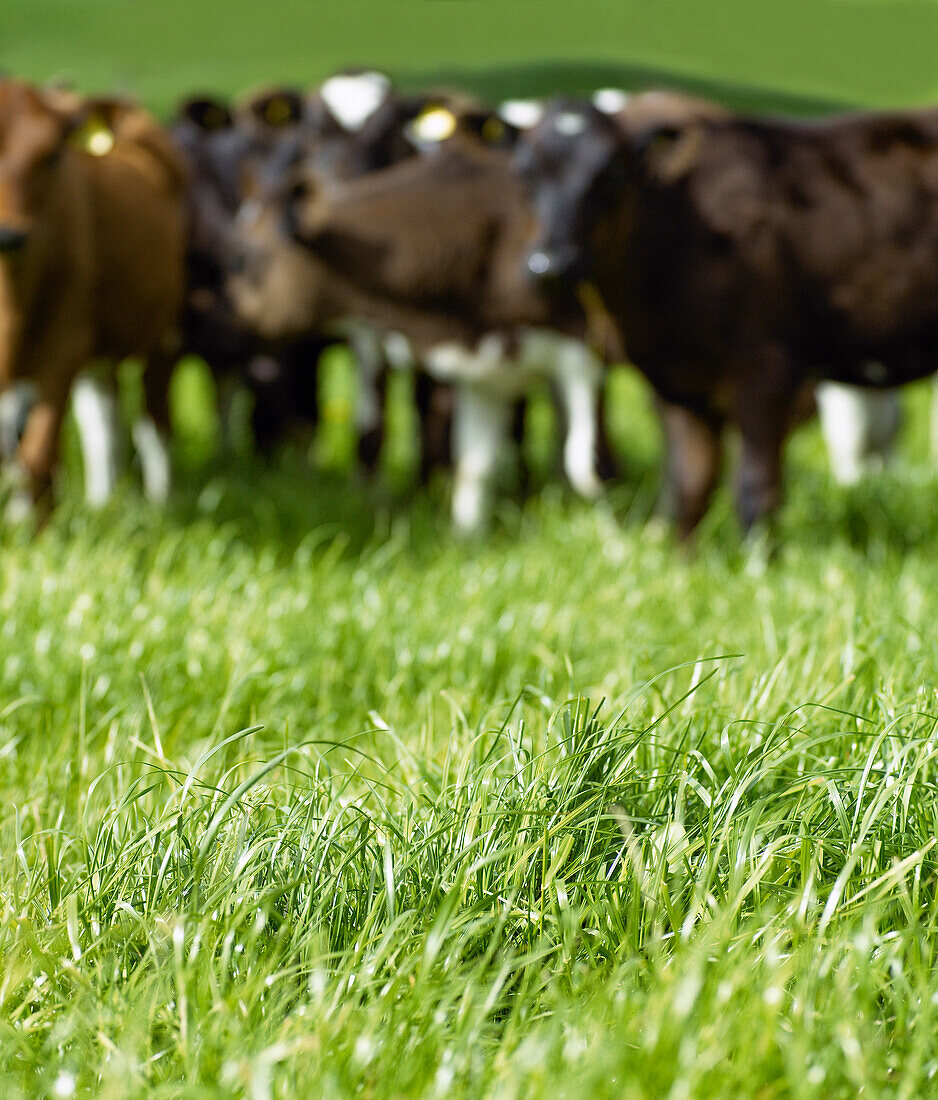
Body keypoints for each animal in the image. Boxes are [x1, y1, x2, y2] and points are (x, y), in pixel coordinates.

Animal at [0, 77, 184, 514]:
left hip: (166, 331)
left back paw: (160, 503)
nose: (9, 235)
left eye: (51, 156)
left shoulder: (63, 346)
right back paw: (103, 503)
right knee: (104, 417)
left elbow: (37, 457)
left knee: (154, 417)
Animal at [512, 94, 938, 536]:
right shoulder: (680, 386)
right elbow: (687, 490)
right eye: (525, 173)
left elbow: (755, 491)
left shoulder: (769, 369)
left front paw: (758, 556)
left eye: (611, 175)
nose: (550, 264)